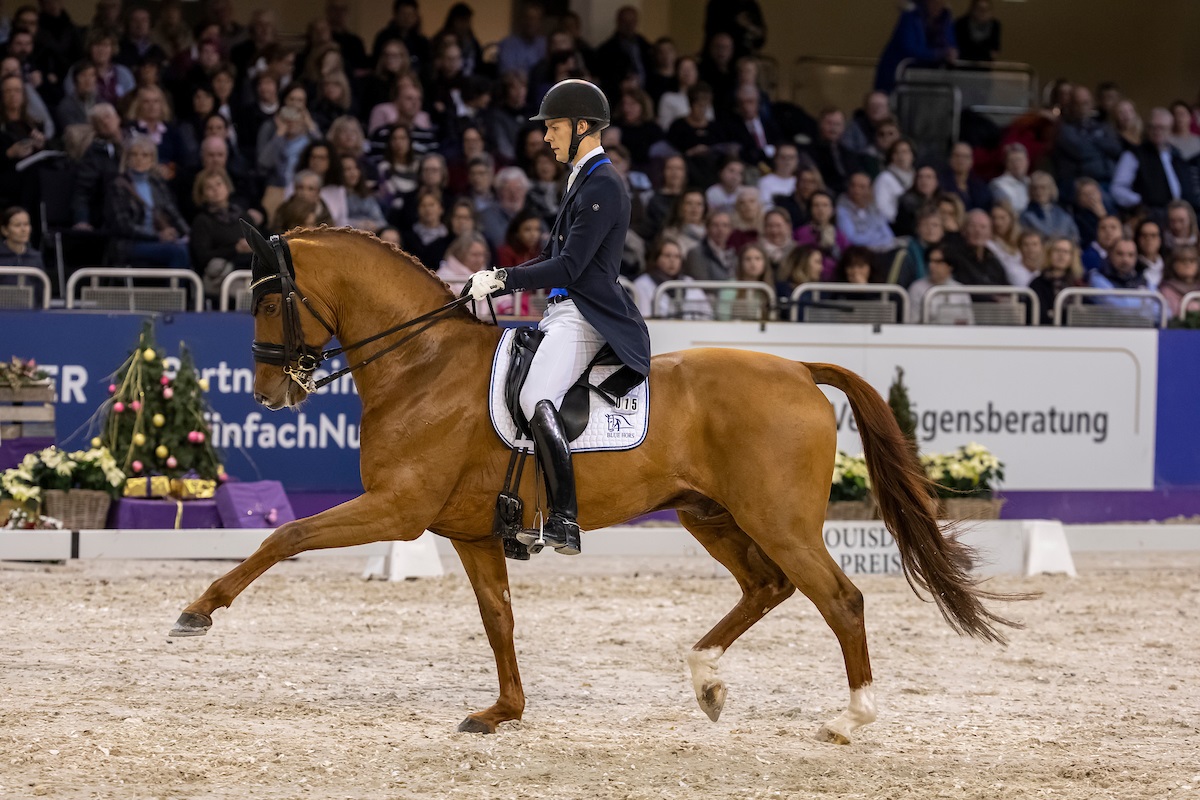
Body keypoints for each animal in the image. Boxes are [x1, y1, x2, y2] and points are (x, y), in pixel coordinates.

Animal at [171, 225, 1022, 743]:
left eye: (269, 298)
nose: (269, 395)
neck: (422, 365)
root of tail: (797, 369)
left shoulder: (397, 510)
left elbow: (285, 534)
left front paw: (197, 612)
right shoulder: (471, 532)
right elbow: (499, 621)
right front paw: (504, 711)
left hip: (775, 519)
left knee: (838, 599)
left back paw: (850, 719)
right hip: (711, 515)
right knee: (768, 587)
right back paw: (706, 680)